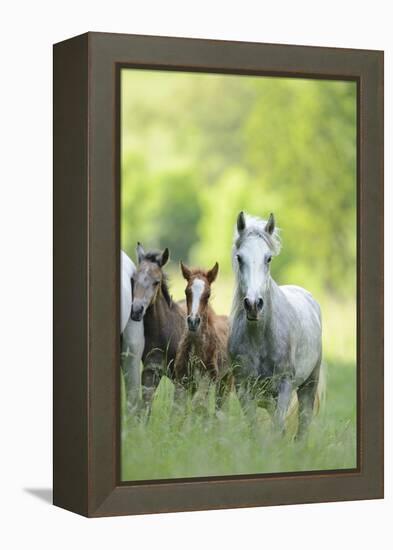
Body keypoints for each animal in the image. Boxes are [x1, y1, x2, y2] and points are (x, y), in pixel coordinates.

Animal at [174, 264, 230, 410]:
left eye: (208, 294)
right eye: (186, 292)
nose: (193, 321)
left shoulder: (208, 381)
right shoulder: (182, 381)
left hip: (226, 381)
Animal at [228, 211, 324, 440]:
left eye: (268, 258)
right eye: (239, 257)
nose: (254, 305)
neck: (260, 338)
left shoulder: (284, 385)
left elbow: (279, 427)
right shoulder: (243, 388)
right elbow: (255, 427)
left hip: (309, 384)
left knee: (303, 422)